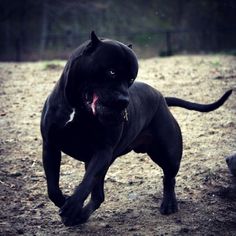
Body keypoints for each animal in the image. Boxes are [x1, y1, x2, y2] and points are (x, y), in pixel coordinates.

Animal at [40, 31, 230, 225]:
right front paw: (65, 202)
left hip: (169, 154)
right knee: (99, 196)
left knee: (169, 178)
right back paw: (80, 216)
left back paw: (169, 204)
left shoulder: (102, 152)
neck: (77, 107)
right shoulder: (50, 146)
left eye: (131, 79)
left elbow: (87, 181)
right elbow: (53, 187)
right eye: (111, 72)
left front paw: (71, 205)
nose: (124, 101)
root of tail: (162, 98)